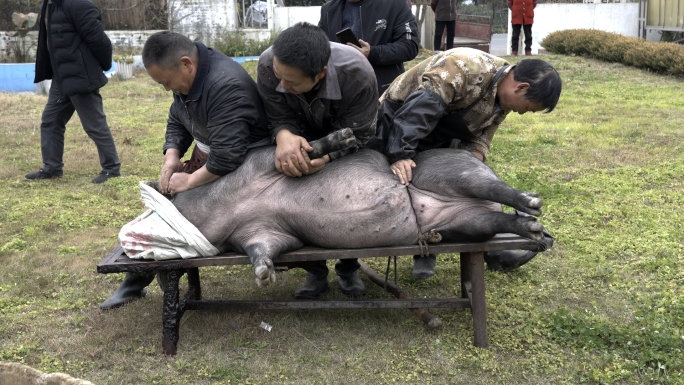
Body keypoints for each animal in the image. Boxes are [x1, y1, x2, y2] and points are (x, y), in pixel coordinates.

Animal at [168, 144, 544, 284]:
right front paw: (263, 276)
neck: (229, 208)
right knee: (496, 221)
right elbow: (263, 249)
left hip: (454, 173)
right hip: (467, 224)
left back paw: (533, 204)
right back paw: (536, 232)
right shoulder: (264, 233)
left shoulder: (262, 164)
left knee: (495, 189)